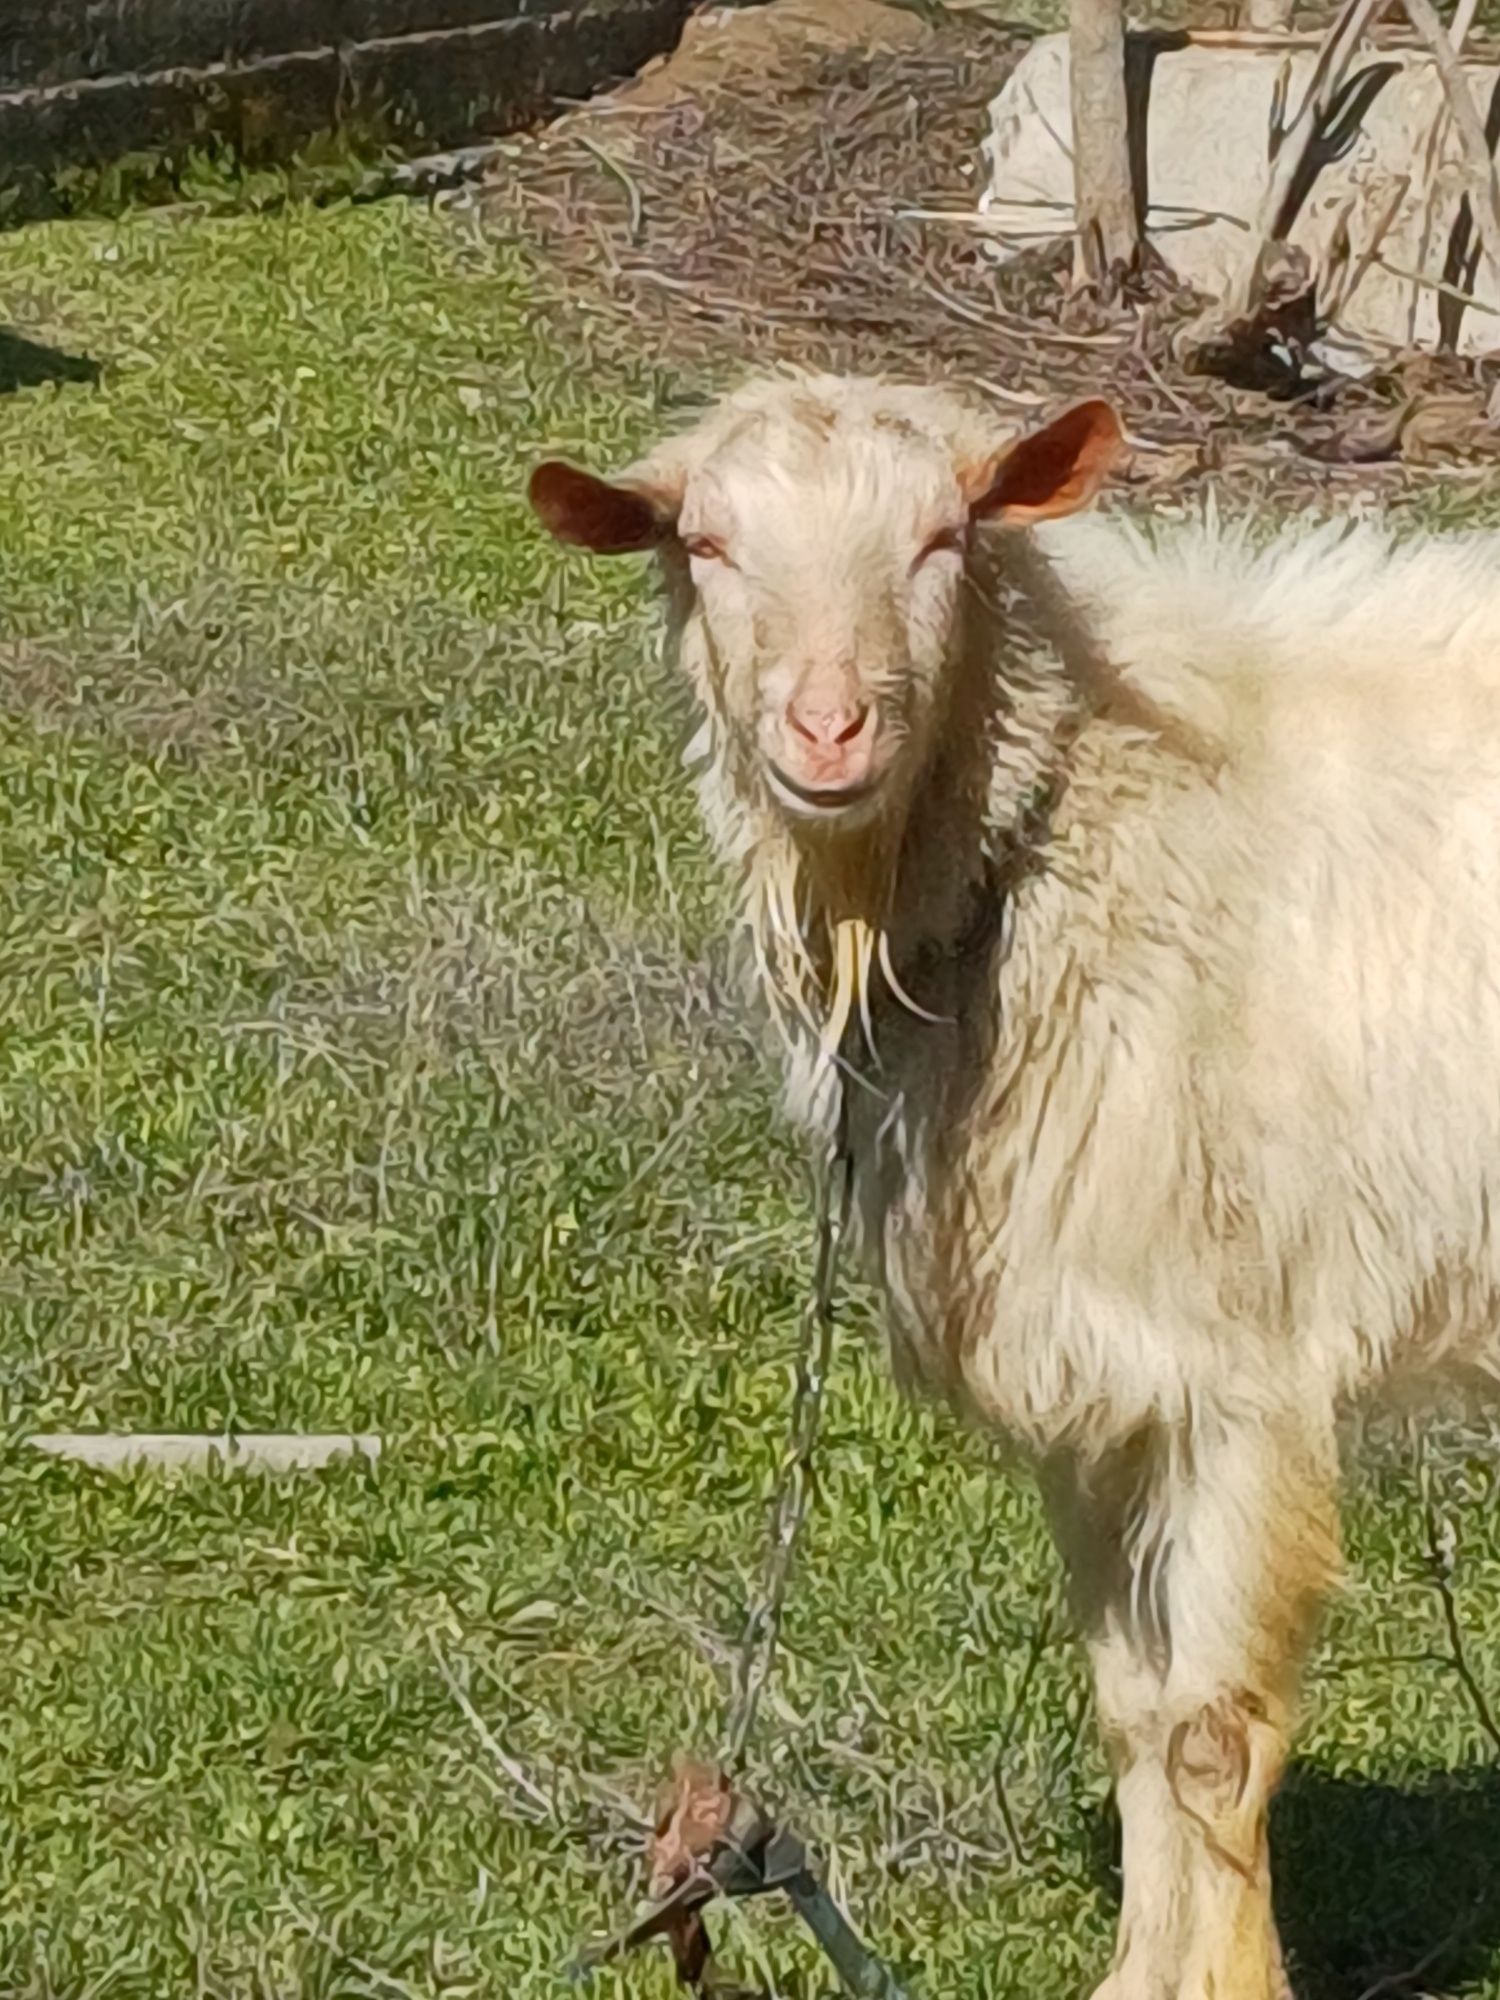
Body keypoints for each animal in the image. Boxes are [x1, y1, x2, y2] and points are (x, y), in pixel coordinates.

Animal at [524, 376, 1500, 2000]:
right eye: (705, 543)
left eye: (943, 536)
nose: (829, 727)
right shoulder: (1101, 1371)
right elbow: (1134, 1714)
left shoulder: (1245, 1369)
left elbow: (1212, 1732)